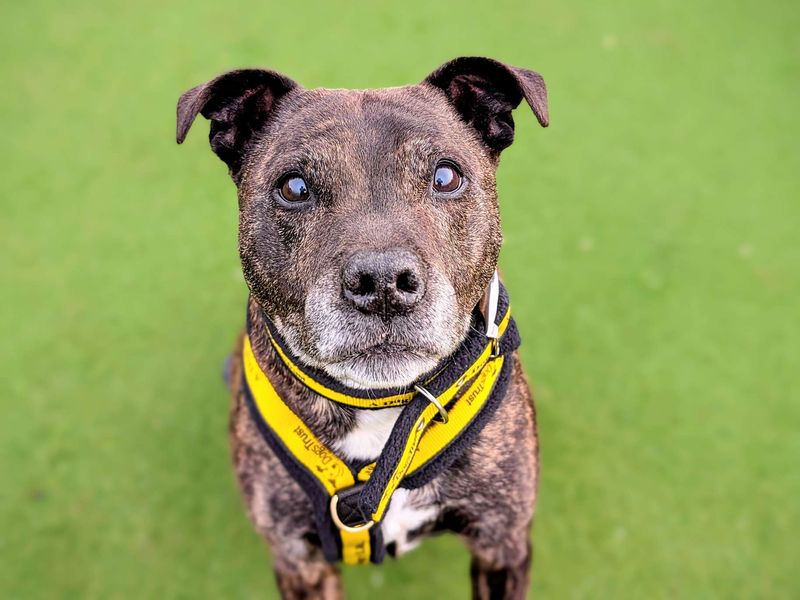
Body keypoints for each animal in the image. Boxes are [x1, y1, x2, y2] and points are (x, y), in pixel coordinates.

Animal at [177, 55, 552, 596]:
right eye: (294, 188)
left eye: (446, 176)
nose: (382, 282)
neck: (379, 408)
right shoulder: (299, 561)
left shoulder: (501, 545)